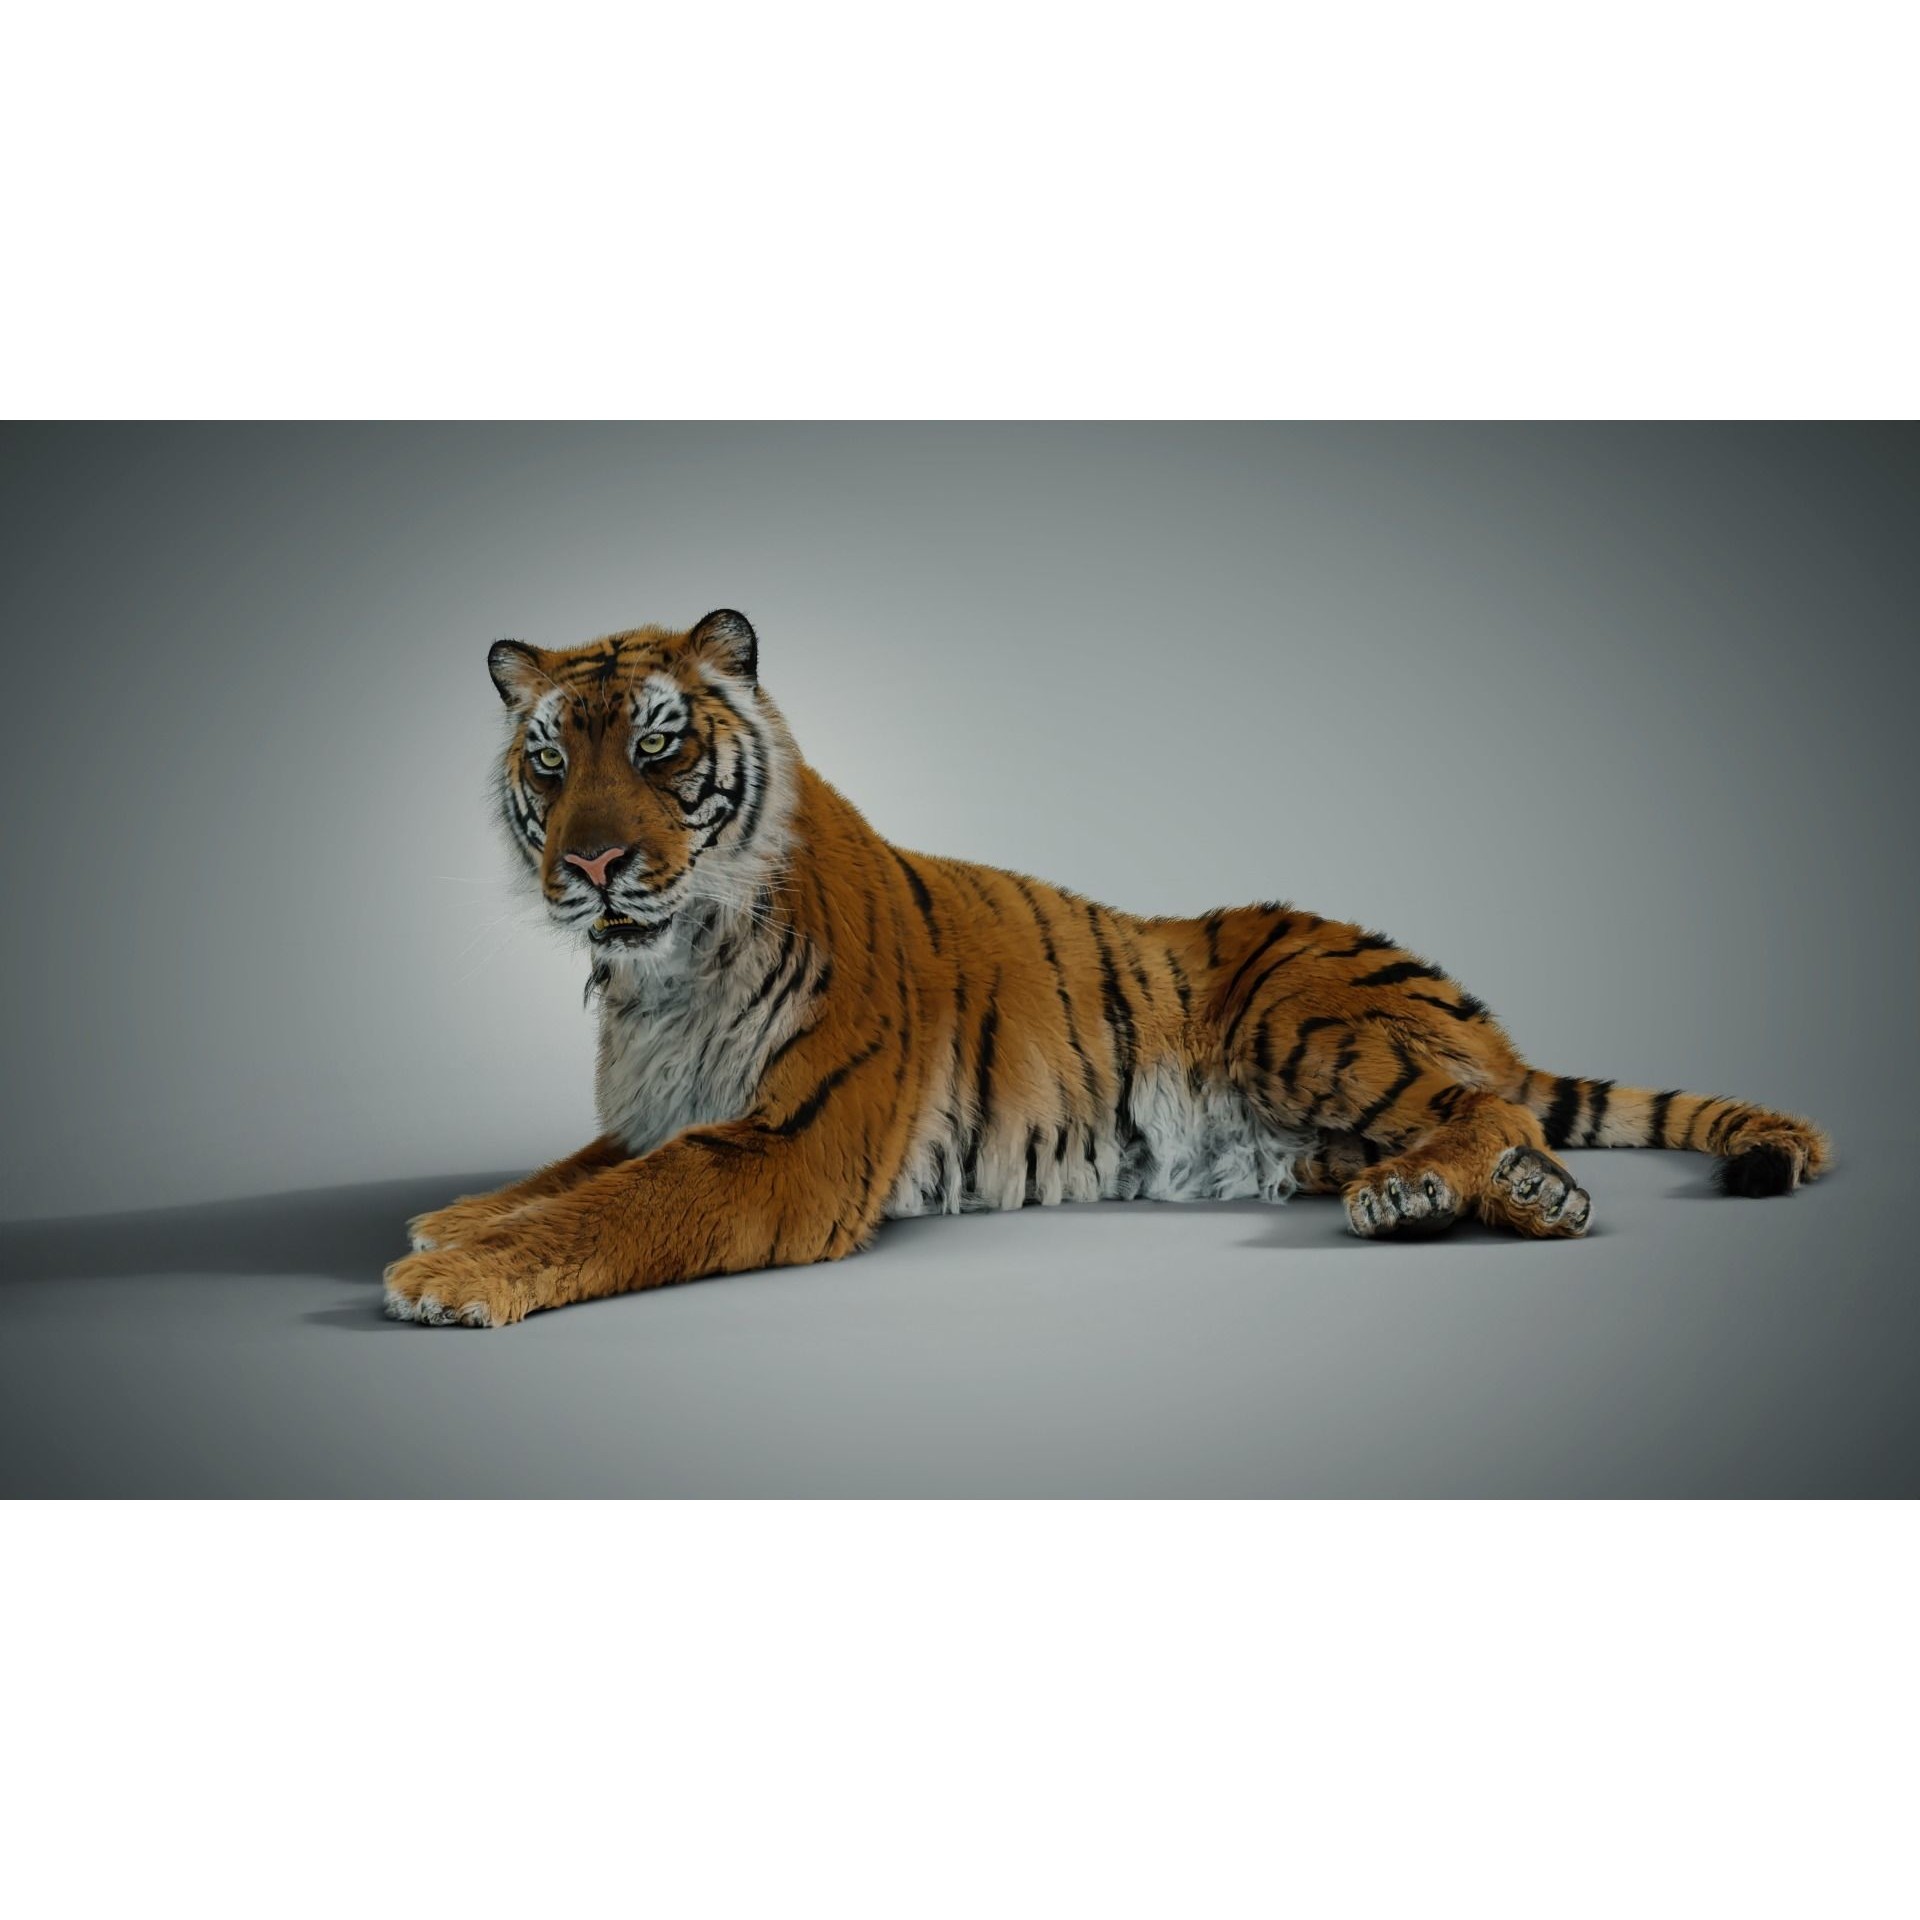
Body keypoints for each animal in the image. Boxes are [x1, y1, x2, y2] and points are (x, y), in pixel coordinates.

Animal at [384, 609, 1831, 1328]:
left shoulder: (795, 1141)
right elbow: (568, 1174)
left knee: (1496, 1106)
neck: (666, 973)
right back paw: (1478, 1201)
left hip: (1300, 1018)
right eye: (551, 761)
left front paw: (447, 1277)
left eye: (662, 746)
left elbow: (616, 1209)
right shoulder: (663, 1110)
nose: (592, 868)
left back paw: (1464, 1191)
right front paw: (456, 1221)